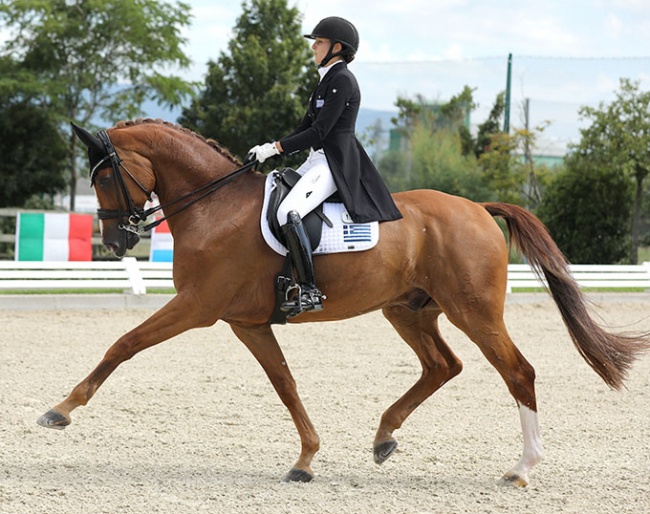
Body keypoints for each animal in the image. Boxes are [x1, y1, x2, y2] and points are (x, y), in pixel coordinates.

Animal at [38, 119, 644, 484]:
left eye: (104, 178)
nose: (115, 242)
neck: (213, 207)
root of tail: (478, 207)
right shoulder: (246, 322)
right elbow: (285, 384)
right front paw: (306, 459)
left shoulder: (197, 307)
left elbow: (124, 343)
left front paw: (60, 410)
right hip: (408, 309)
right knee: (442, 365)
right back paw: (384, 437)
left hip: (474, 311)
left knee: (517, 372)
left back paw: (522, 468)